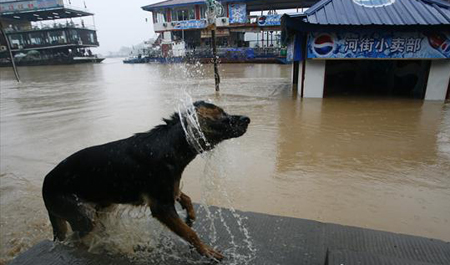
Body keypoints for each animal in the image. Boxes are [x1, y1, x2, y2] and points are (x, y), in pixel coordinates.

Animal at [42, 100, 251, 258]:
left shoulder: (168, 190)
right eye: (222, 116)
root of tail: (45, 185)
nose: (247, 119)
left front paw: (190, 214)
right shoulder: (161, 206)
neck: (170, 145)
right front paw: (206, 250)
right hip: (81, 214)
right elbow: (189, 232)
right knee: (77, 238)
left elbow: (185, 197)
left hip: (99, 205)